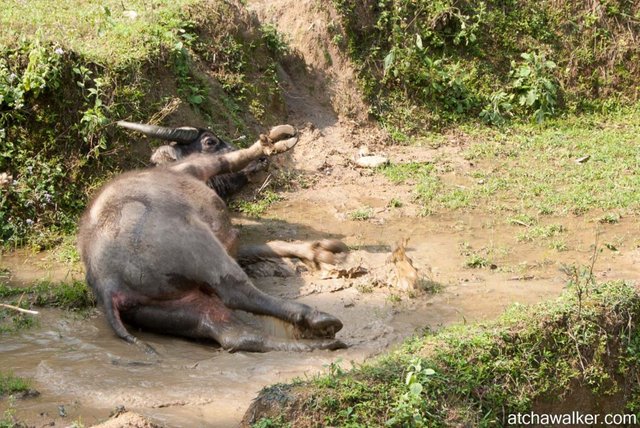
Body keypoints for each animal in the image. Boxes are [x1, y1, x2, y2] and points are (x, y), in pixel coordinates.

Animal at [80, 125, 350, 352]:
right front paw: (274, 140)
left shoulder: (232, 243)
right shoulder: (198, 167)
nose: (262, 162)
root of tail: (107, 283)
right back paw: (319, 319)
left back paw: (318, 342)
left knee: (235, 334)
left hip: (172, 308)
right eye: (210, 140)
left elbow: (267, 245)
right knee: (237, 292)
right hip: (202, 248)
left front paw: (320, 251)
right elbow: (230, 160)